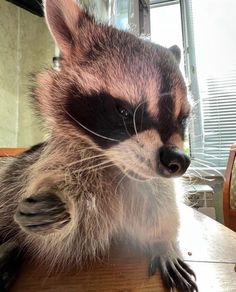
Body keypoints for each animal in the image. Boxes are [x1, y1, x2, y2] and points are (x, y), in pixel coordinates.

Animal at [0, 0, 197, 290]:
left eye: (182, 119)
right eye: (124, 111)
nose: (178, 161)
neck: (117, 169)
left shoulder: (154, 184)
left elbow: (163, 206)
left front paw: (164, 241)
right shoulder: (58, 160)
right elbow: (62, 238)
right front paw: (67, 205)